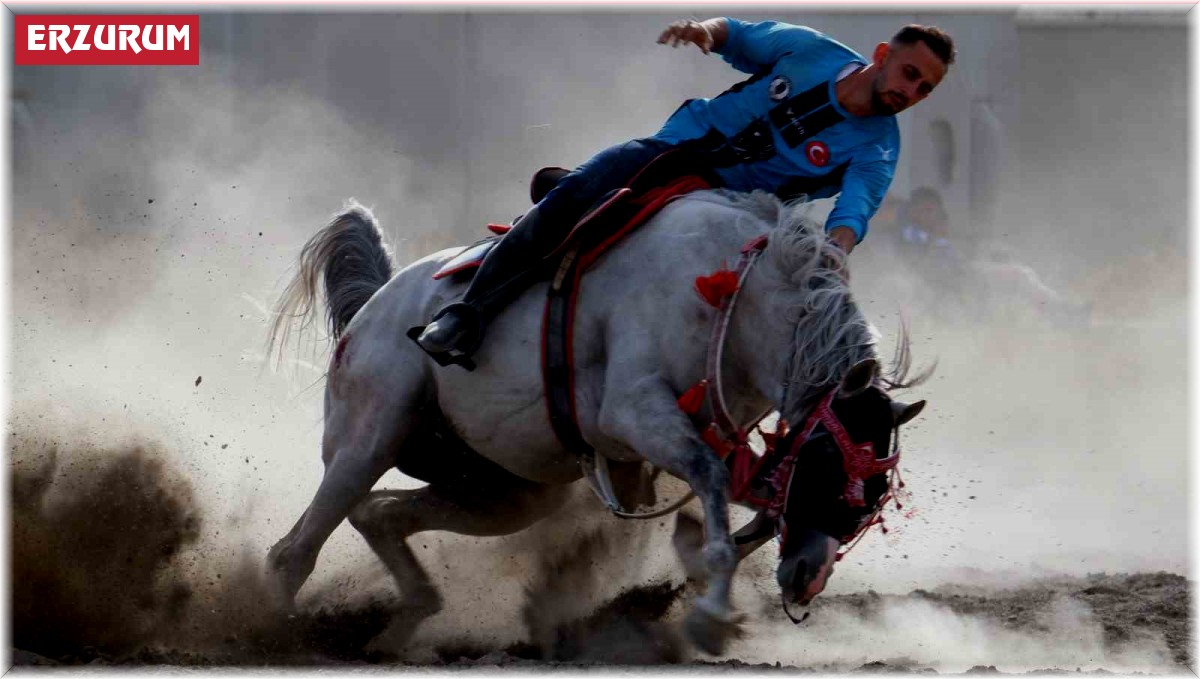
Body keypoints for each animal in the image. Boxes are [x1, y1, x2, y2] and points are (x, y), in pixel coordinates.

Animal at [265, 189, 926, 657]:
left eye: (874, 495)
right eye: (828, 462)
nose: (807, 578)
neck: (736, 299)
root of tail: (377, 305)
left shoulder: (723, 442)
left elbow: (752, 506)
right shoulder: (635, 413)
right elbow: (712, 484)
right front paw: (711, 617)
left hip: (501, 490)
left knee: (379, 514)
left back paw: (400, 626)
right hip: (367, 437)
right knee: (294, 551)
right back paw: (270, 630)